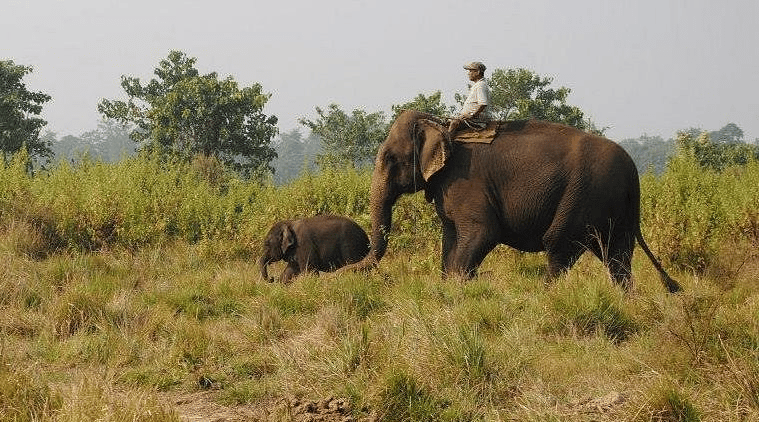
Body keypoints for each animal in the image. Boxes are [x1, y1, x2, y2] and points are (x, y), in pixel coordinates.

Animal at [344, 109, 681, 293]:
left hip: (584, 194)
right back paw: (627, 299)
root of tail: (633, 172)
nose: (342, 272)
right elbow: (449, 238)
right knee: (616, 254)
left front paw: (455, 290)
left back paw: (546, 297)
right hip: (614, 207)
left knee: (559, 242)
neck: (440, 125)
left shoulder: (466, 183)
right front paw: (446, 288)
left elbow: (483, 233)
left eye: (390, 158)